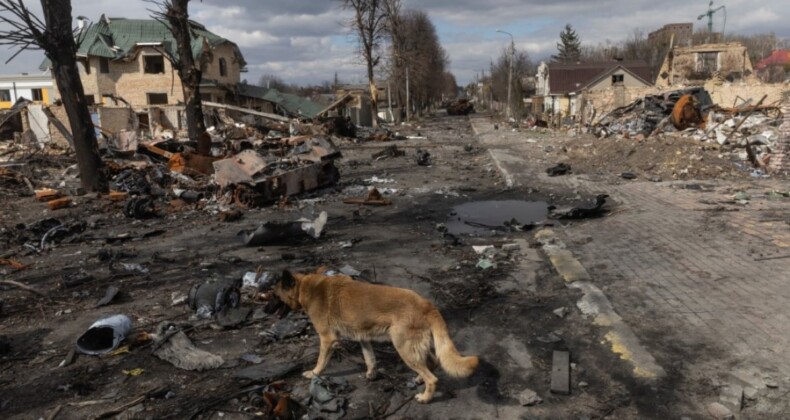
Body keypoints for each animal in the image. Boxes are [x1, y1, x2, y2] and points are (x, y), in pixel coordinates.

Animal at [276, 270, 480, 402]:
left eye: (273, 293)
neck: (307, 287)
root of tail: (427, 304)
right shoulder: (363, 337)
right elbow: (370, 358)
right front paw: (372, 374)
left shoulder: (327, 339)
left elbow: (320, 362)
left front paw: (314, 373)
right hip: (413, 347)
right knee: (432, 362)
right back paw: (419, 379)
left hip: (404, 348)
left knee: (433, 378)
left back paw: (425, 397)